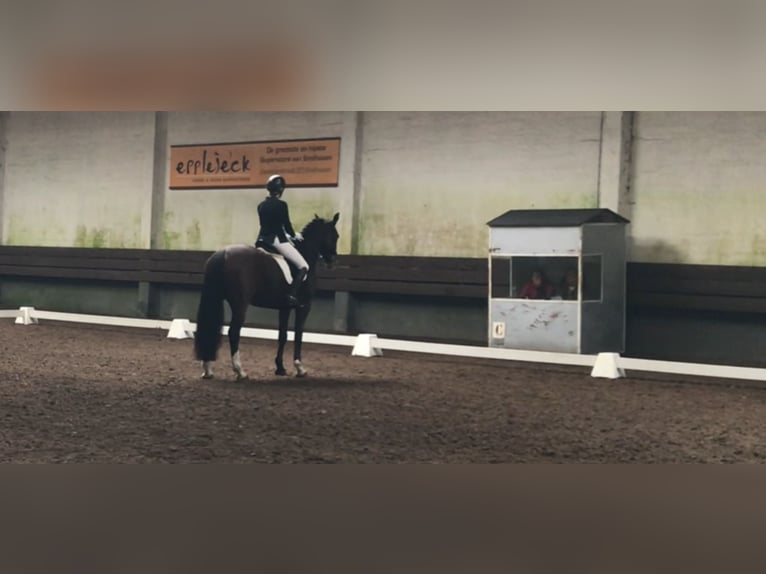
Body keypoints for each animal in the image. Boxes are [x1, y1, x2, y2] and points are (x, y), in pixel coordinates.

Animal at [193, 212, 340, 380]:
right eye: (335, 236)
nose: (331, 261)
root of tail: (222, 254)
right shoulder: (304, 306)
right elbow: (298, 334)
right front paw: (300, 368)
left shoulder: (285, 307)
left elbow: (283, 335)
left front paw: (280, 368)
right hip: (239, 304)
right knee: (233, 332)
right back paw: (240, 371)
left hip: (216, 298)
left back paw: (208, 370)